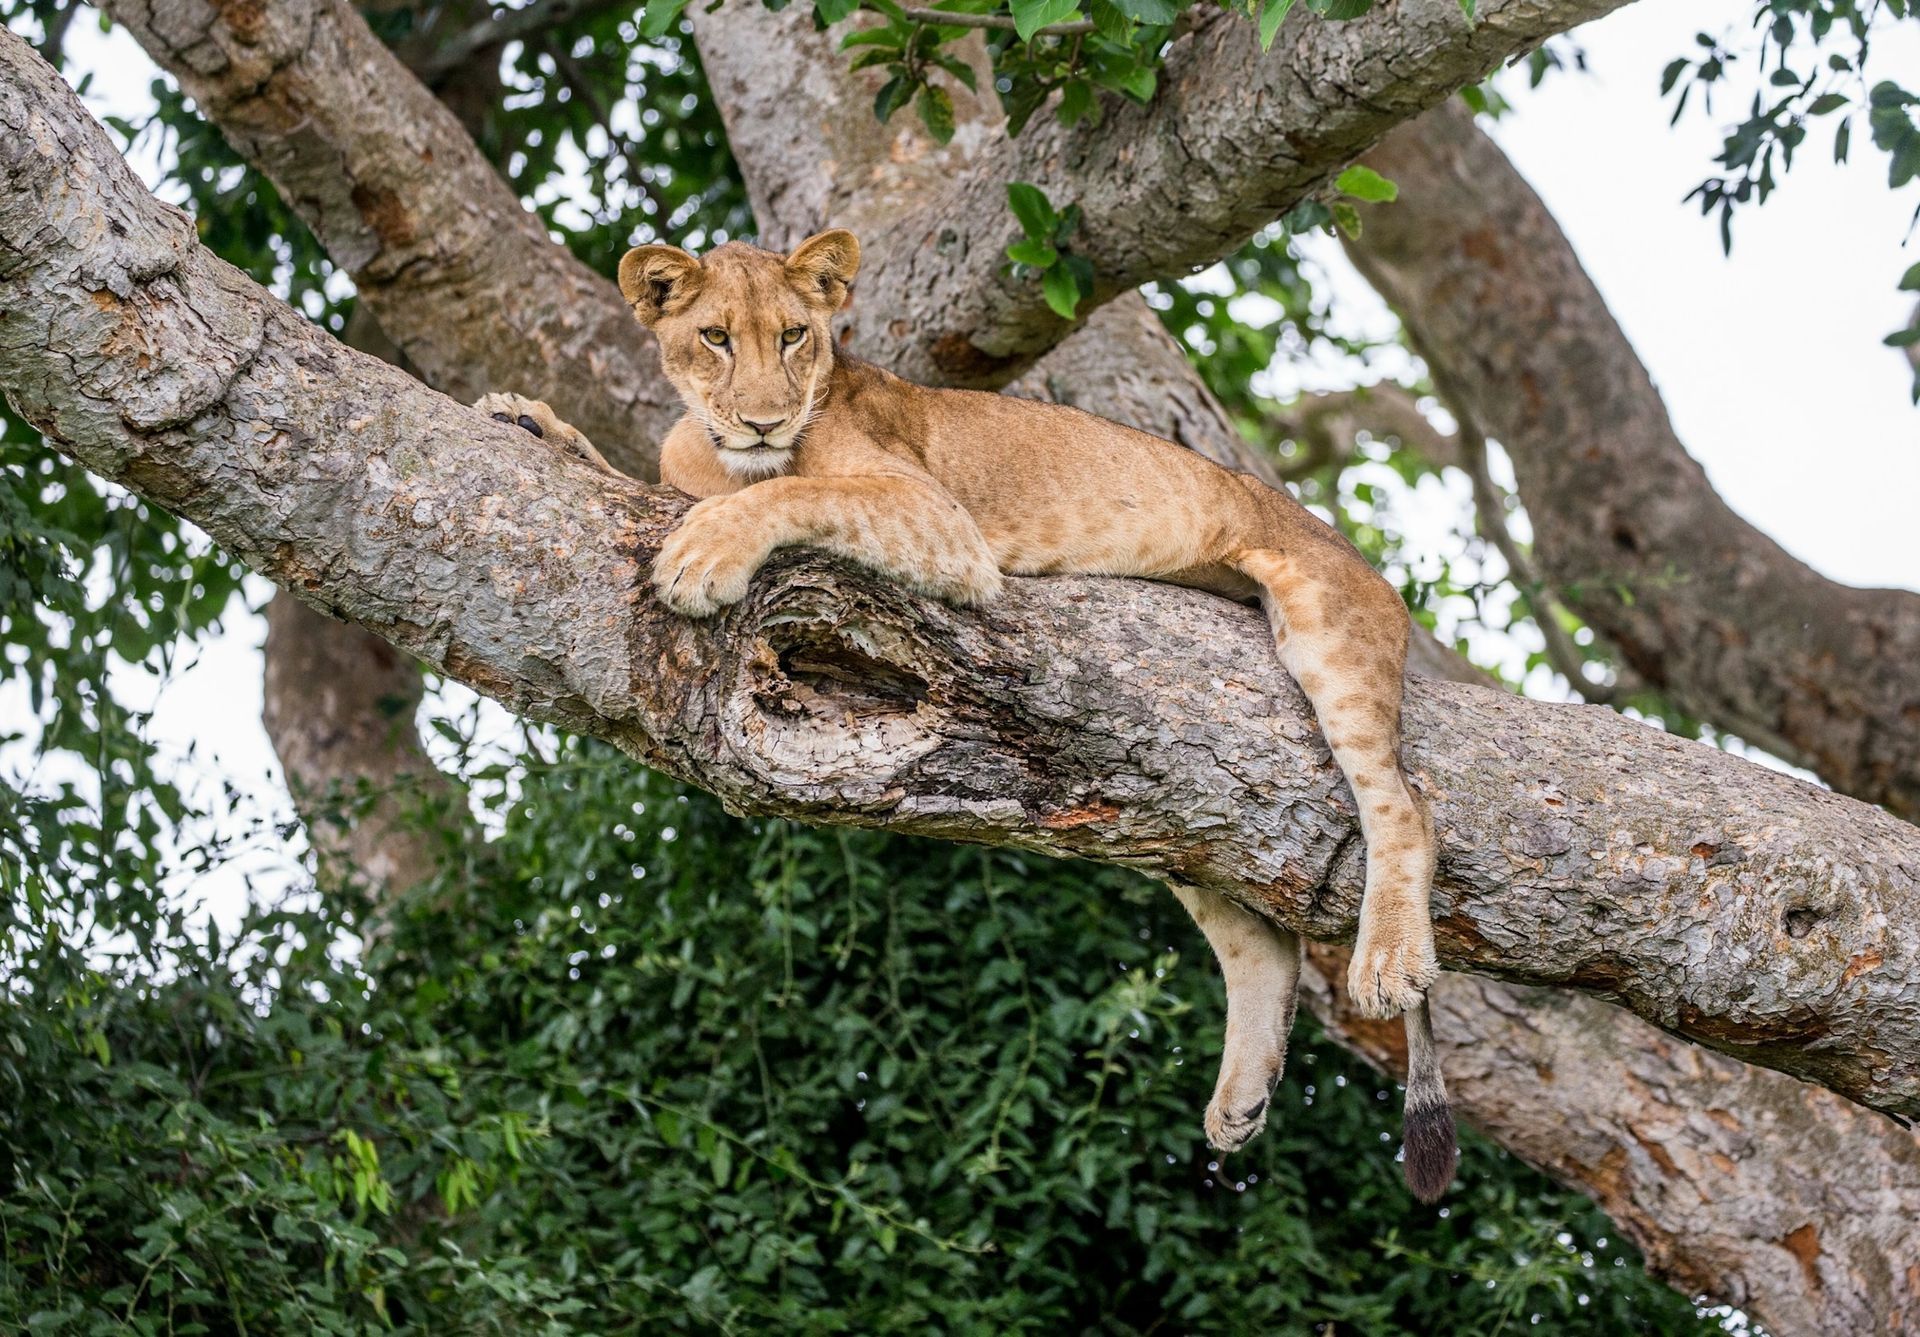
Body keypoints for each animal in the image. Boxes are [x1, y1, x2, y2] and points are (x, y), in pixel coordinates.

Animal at [476, 229, 1456, 1201]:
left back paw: (1386, 963)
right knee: (1258, 937)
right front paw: (527, 422)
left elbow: (796, 493)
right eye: (714, 337)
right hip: (1172, 802)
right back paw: (1240, 1098)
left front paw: (706, 550)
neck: (722, 453)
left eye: (795, 336)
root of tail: (1366, 568)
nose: (763, 421)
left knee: (1404, 803)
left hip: (1325, 621)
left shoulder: (938, 518)